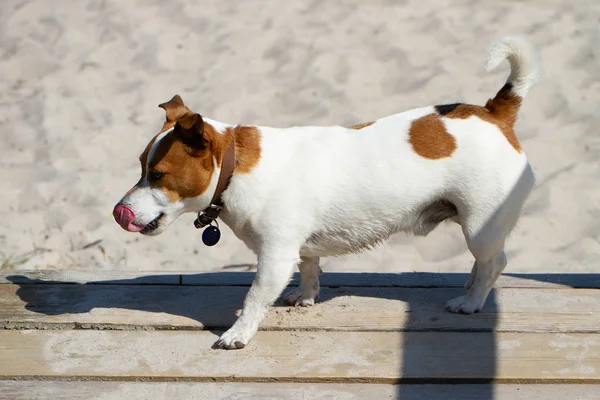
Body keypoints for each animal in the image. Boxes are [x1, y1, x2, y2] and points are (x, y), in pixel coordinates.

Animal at [112, 37, 540, 350]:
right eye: (140, 167)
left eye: (158, 174)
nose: (119, 211)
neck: (234, 168)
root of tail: (494, 112)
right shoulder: (299, 248)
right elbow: (309, 268)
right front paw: (305, 295)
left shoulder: (274, 257)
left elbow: (254, 298)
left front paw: (237, 334)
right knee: (483, 263)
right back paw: (469, 287)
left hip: (480, 224)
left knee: (494, 262)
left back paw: (472, 302)